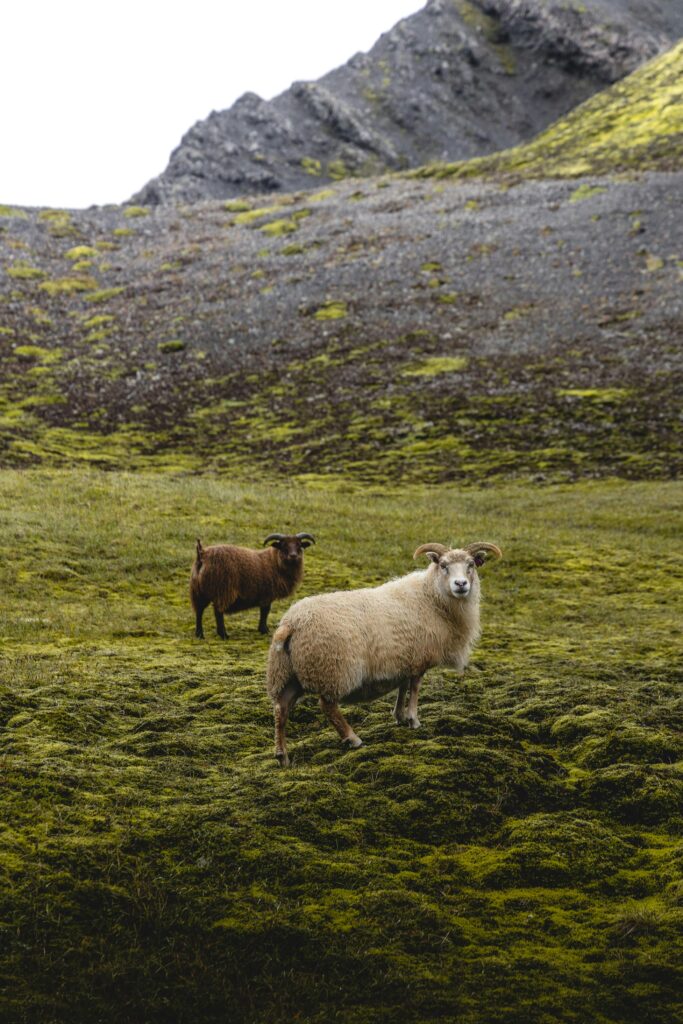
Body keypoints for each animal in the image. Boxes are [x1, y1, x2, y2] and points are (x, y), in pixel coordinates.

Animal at [266, 540, 501, 765]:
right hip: (333, 670)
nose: (461, 584)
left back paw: (282, 756)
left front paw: (399, 716)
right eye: (443, 565)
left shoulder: (405, 657)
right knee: (327, 706)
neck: (432, 597)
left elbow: (403, 686)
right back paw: (353, 739)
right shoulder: (419, 658)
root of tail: (291, 623)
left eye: (471, 565)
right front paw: (413, 720)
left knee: (281, 709)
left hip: (288, 673)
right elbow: (414, 688)